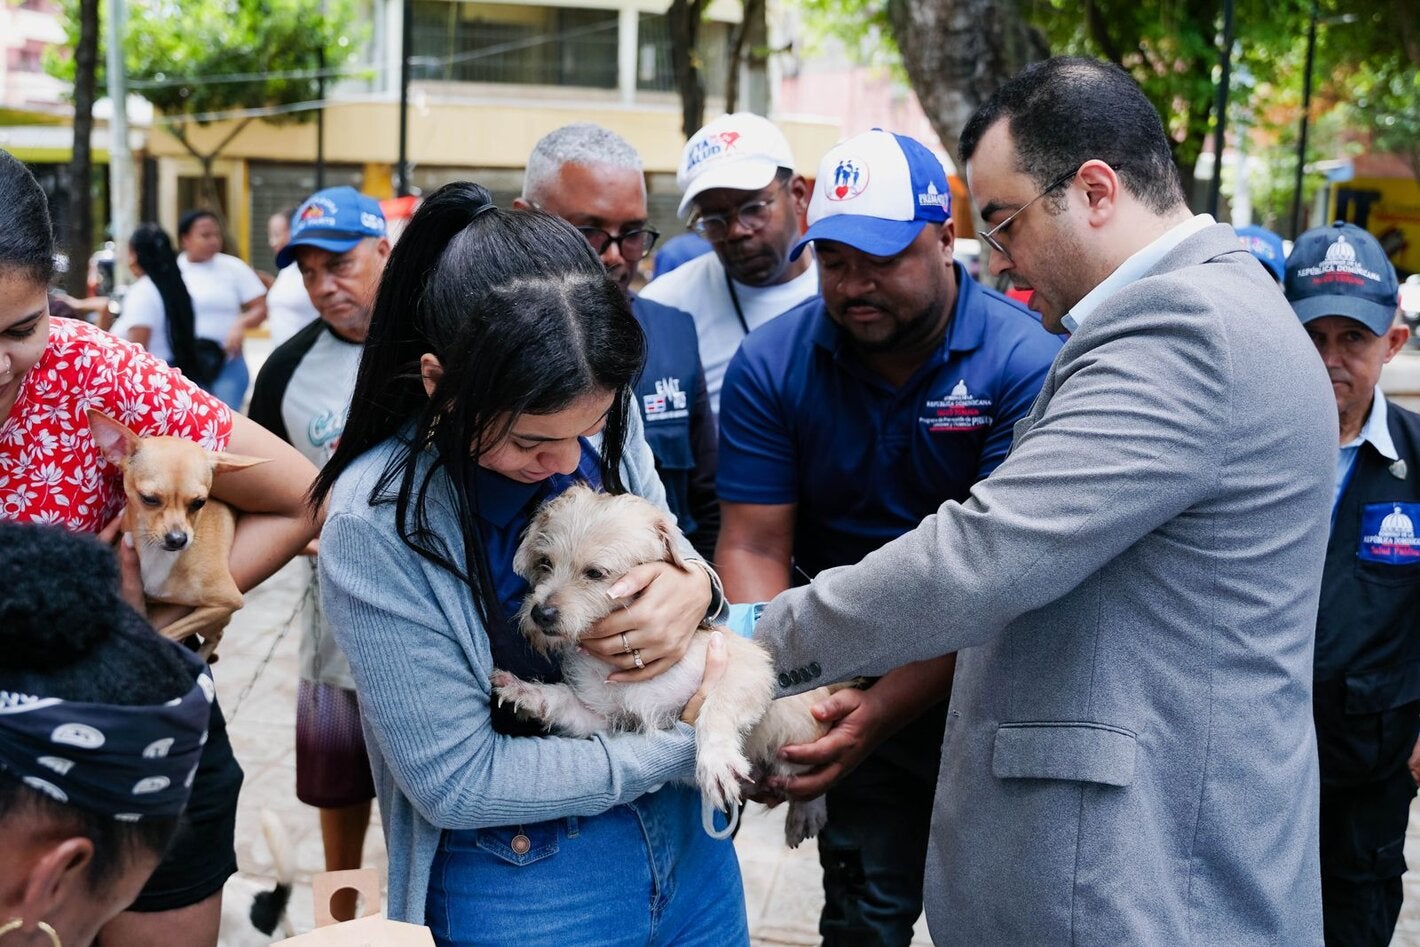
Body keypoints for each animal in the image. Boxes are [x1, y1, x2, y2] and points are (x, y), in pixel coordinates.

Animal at [494, 485, 834, 846]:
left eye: (595, 573)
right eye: (545, 564)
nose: (540, 613)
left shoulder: (750, 667)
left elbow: (715, 709)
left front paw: (714, 761)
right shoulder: (606, 720)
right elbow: (562, 700)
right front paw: (525, 692)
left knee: (810, 781)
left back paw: (806, 811)